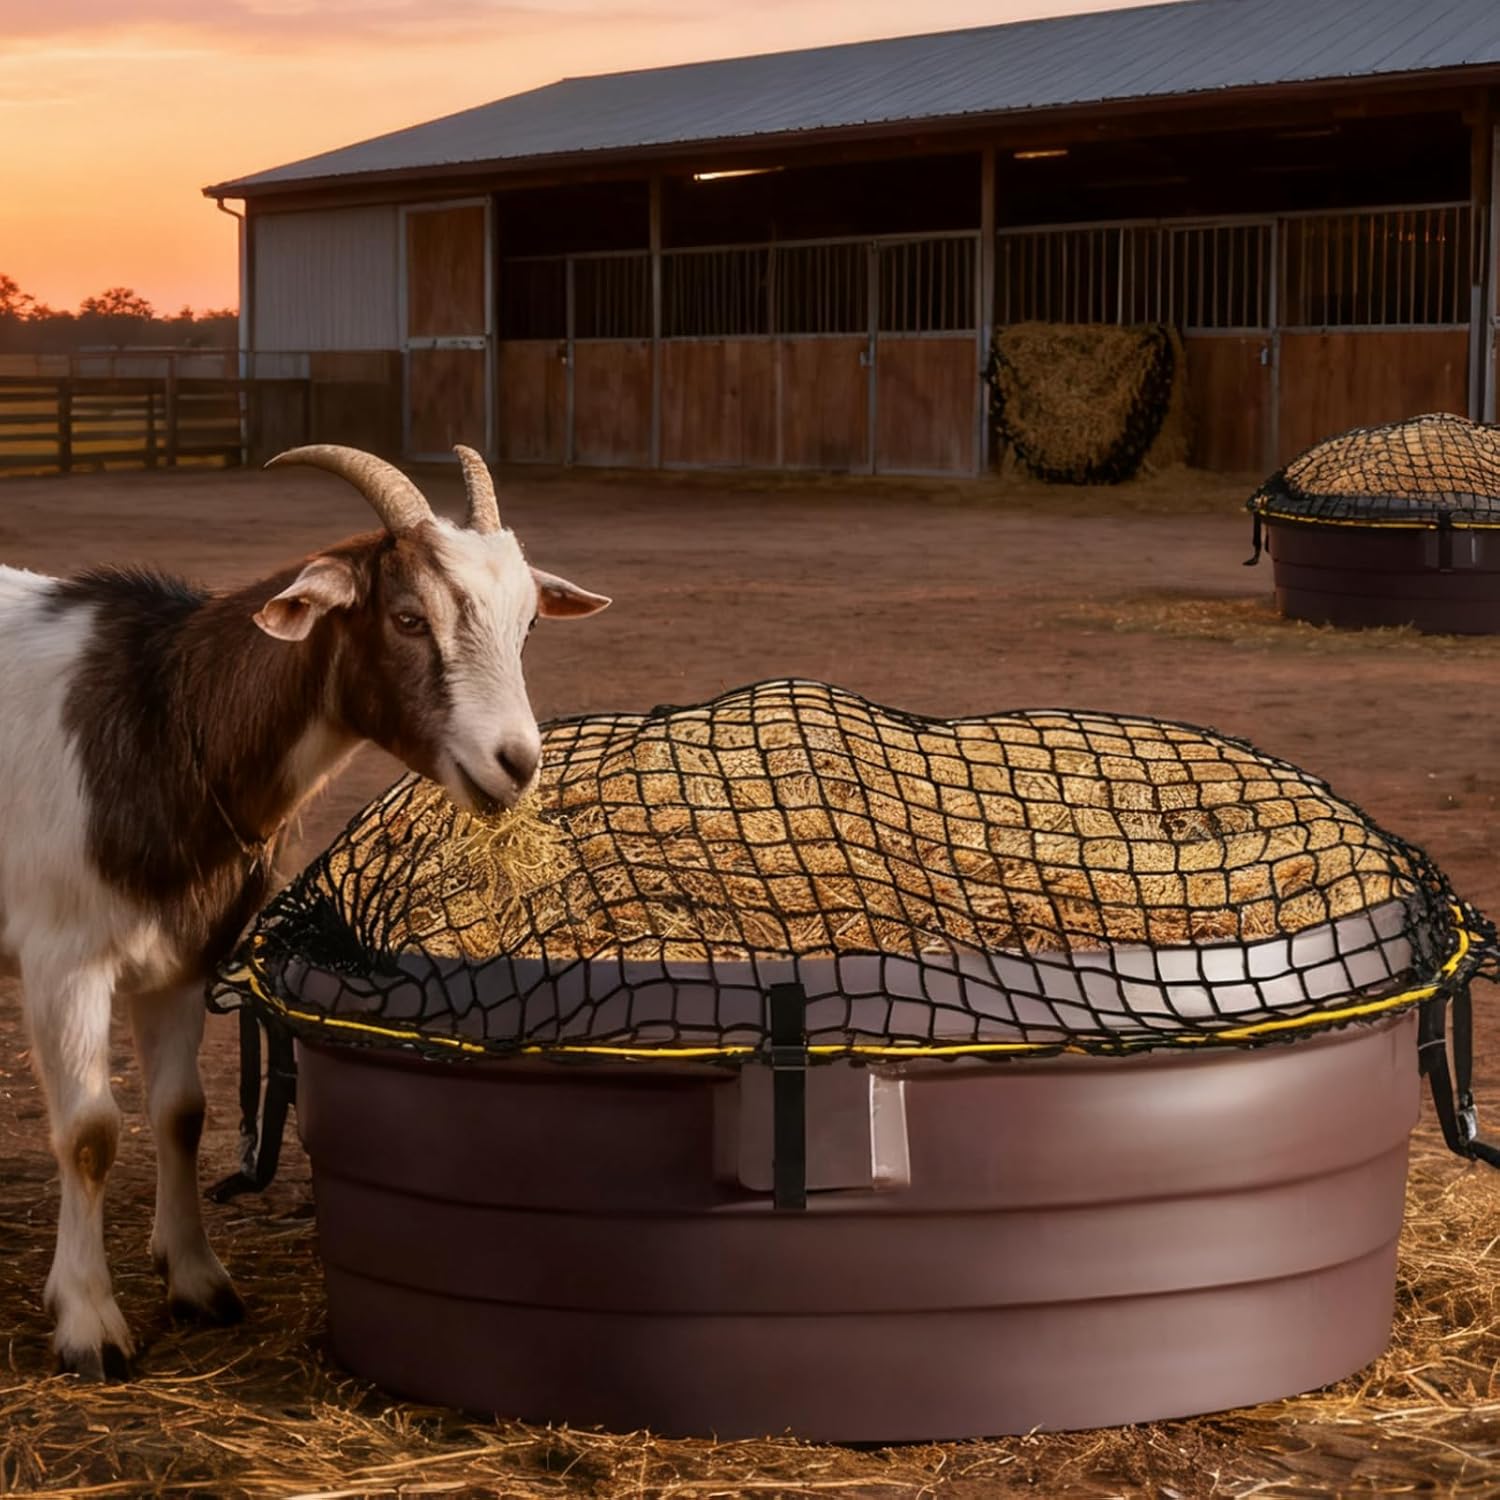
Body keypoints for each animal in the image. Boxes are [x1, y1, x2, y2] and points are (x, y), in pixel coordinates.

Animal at [0, 444, 609, 1378]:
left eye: (529, 627)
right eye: (407, 618)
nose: (515, 764)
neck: (166, 715)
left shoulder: (185, 956)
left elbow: (182, 1113)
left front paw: (197, 1281)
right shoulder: (65, 958)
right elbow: (92, 1134)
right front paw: (89, 1321)